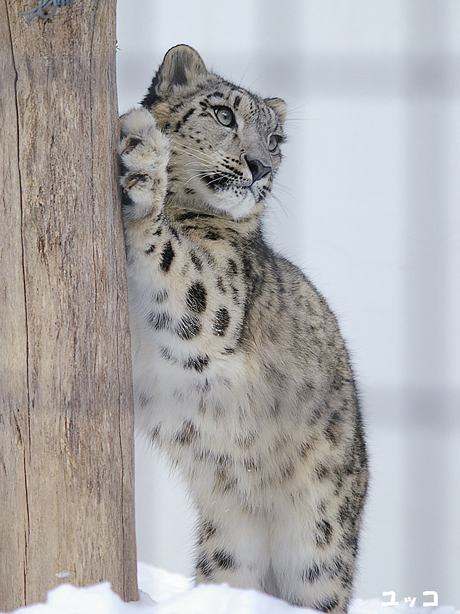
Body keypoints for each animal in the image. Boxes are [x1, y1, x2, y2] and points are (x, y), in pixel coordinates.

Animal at [119, 45, 370, 612]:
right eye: (223, 115)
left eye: (276, 140)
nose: (260, 167)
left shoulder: (216, 302)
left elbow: (171, 262)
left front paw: (142, 160)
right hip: (230, 549)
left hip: (320, 540)